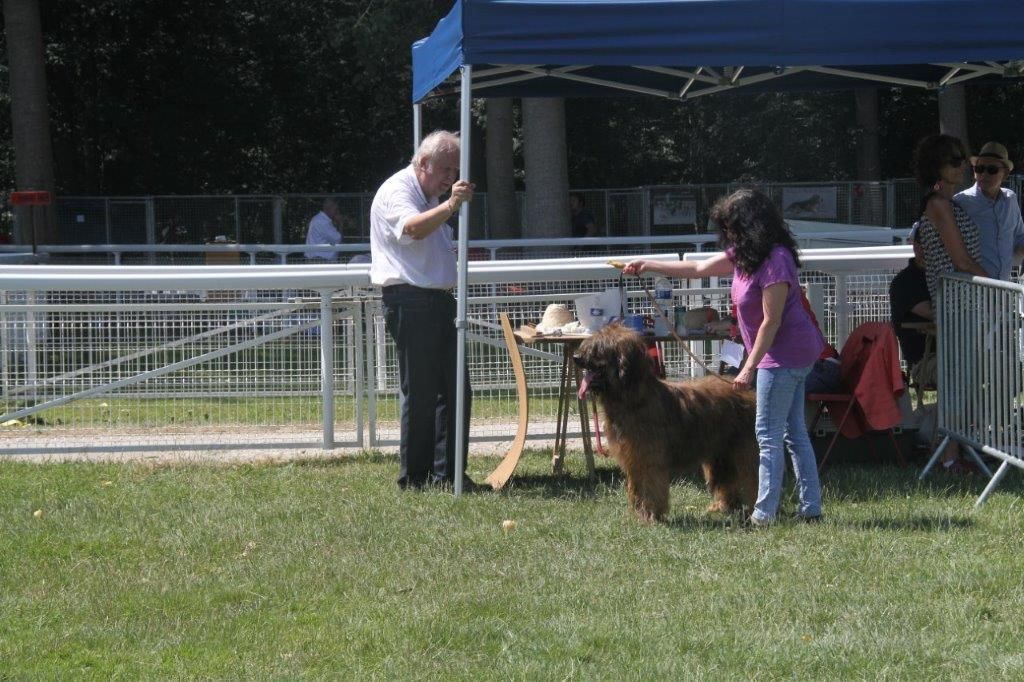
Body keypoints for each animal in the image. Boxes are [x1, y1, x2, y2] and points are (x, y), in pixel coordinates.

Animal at [577, 323, 761, 520]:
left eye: (598, 348)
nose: (575, 357)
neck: (634, 398)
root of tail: (751, 394)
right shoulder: (633, 458)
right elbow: (636, 487)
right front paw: (637, 513)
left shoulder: (649, 457)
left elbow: (650, 485)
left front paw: (650, 514)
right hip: (720, 454)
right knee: (726, 479)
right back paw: (725, 507)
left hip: (743, 451)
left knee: (752, 478)